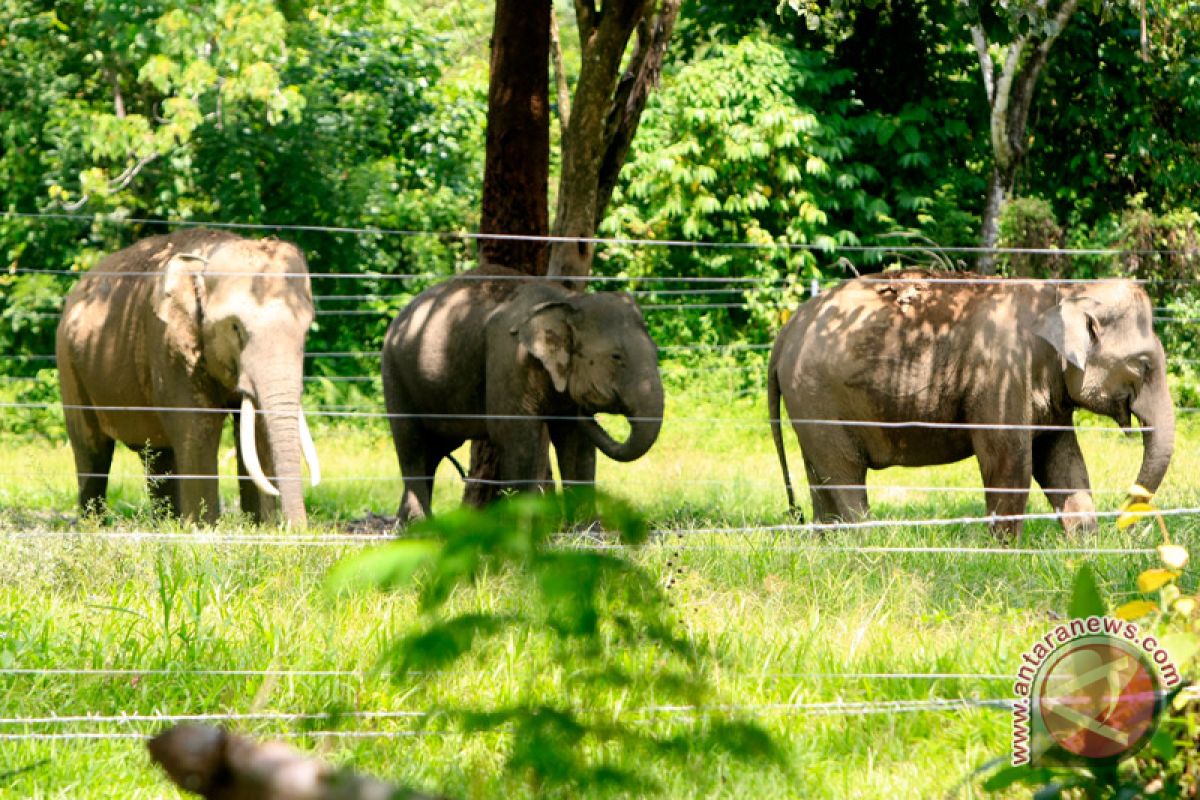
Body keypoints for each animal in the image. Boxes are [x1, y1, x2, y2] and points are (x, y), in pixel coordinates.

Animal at [55, 227, 321, 527]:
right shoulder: (170, 344)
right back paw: (94, 524)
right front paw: (204, 529)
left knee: (157, 453)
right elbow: (198, 425)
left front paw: (262, 528)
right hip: (69, 365)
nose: (297, 528)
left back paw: (165, 523)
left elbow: (256, 429)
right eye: (235, 328)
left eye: (306, 329)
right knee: (92, 450)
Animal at [381, 266, 667, 522]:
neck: (567, 302)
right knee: (412, 444)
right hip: (394, 375)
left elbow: (576, 441)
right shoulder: (509, 359)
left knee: (434, 449)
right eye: (617, 357)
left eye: (656, 353)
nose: (587, 411)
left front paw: (586, 527)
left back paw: (409, 524)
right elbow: (515, 434)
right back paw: (420, 525)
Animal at [768, 272, 1171, 542]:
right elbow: (1010, 460)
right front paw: (1004, 550)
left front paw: (1083, 545)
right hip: (818, 395)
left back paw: (829, 543)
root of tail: (787, 331)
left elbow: (1063, 461)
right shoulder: (1002, 374)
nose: (1123, 524)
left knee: (820, 472)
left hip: (809, 403)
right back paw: (868, 542)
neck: (1066, 291)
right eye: (1143, 365)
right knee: (845, 471)